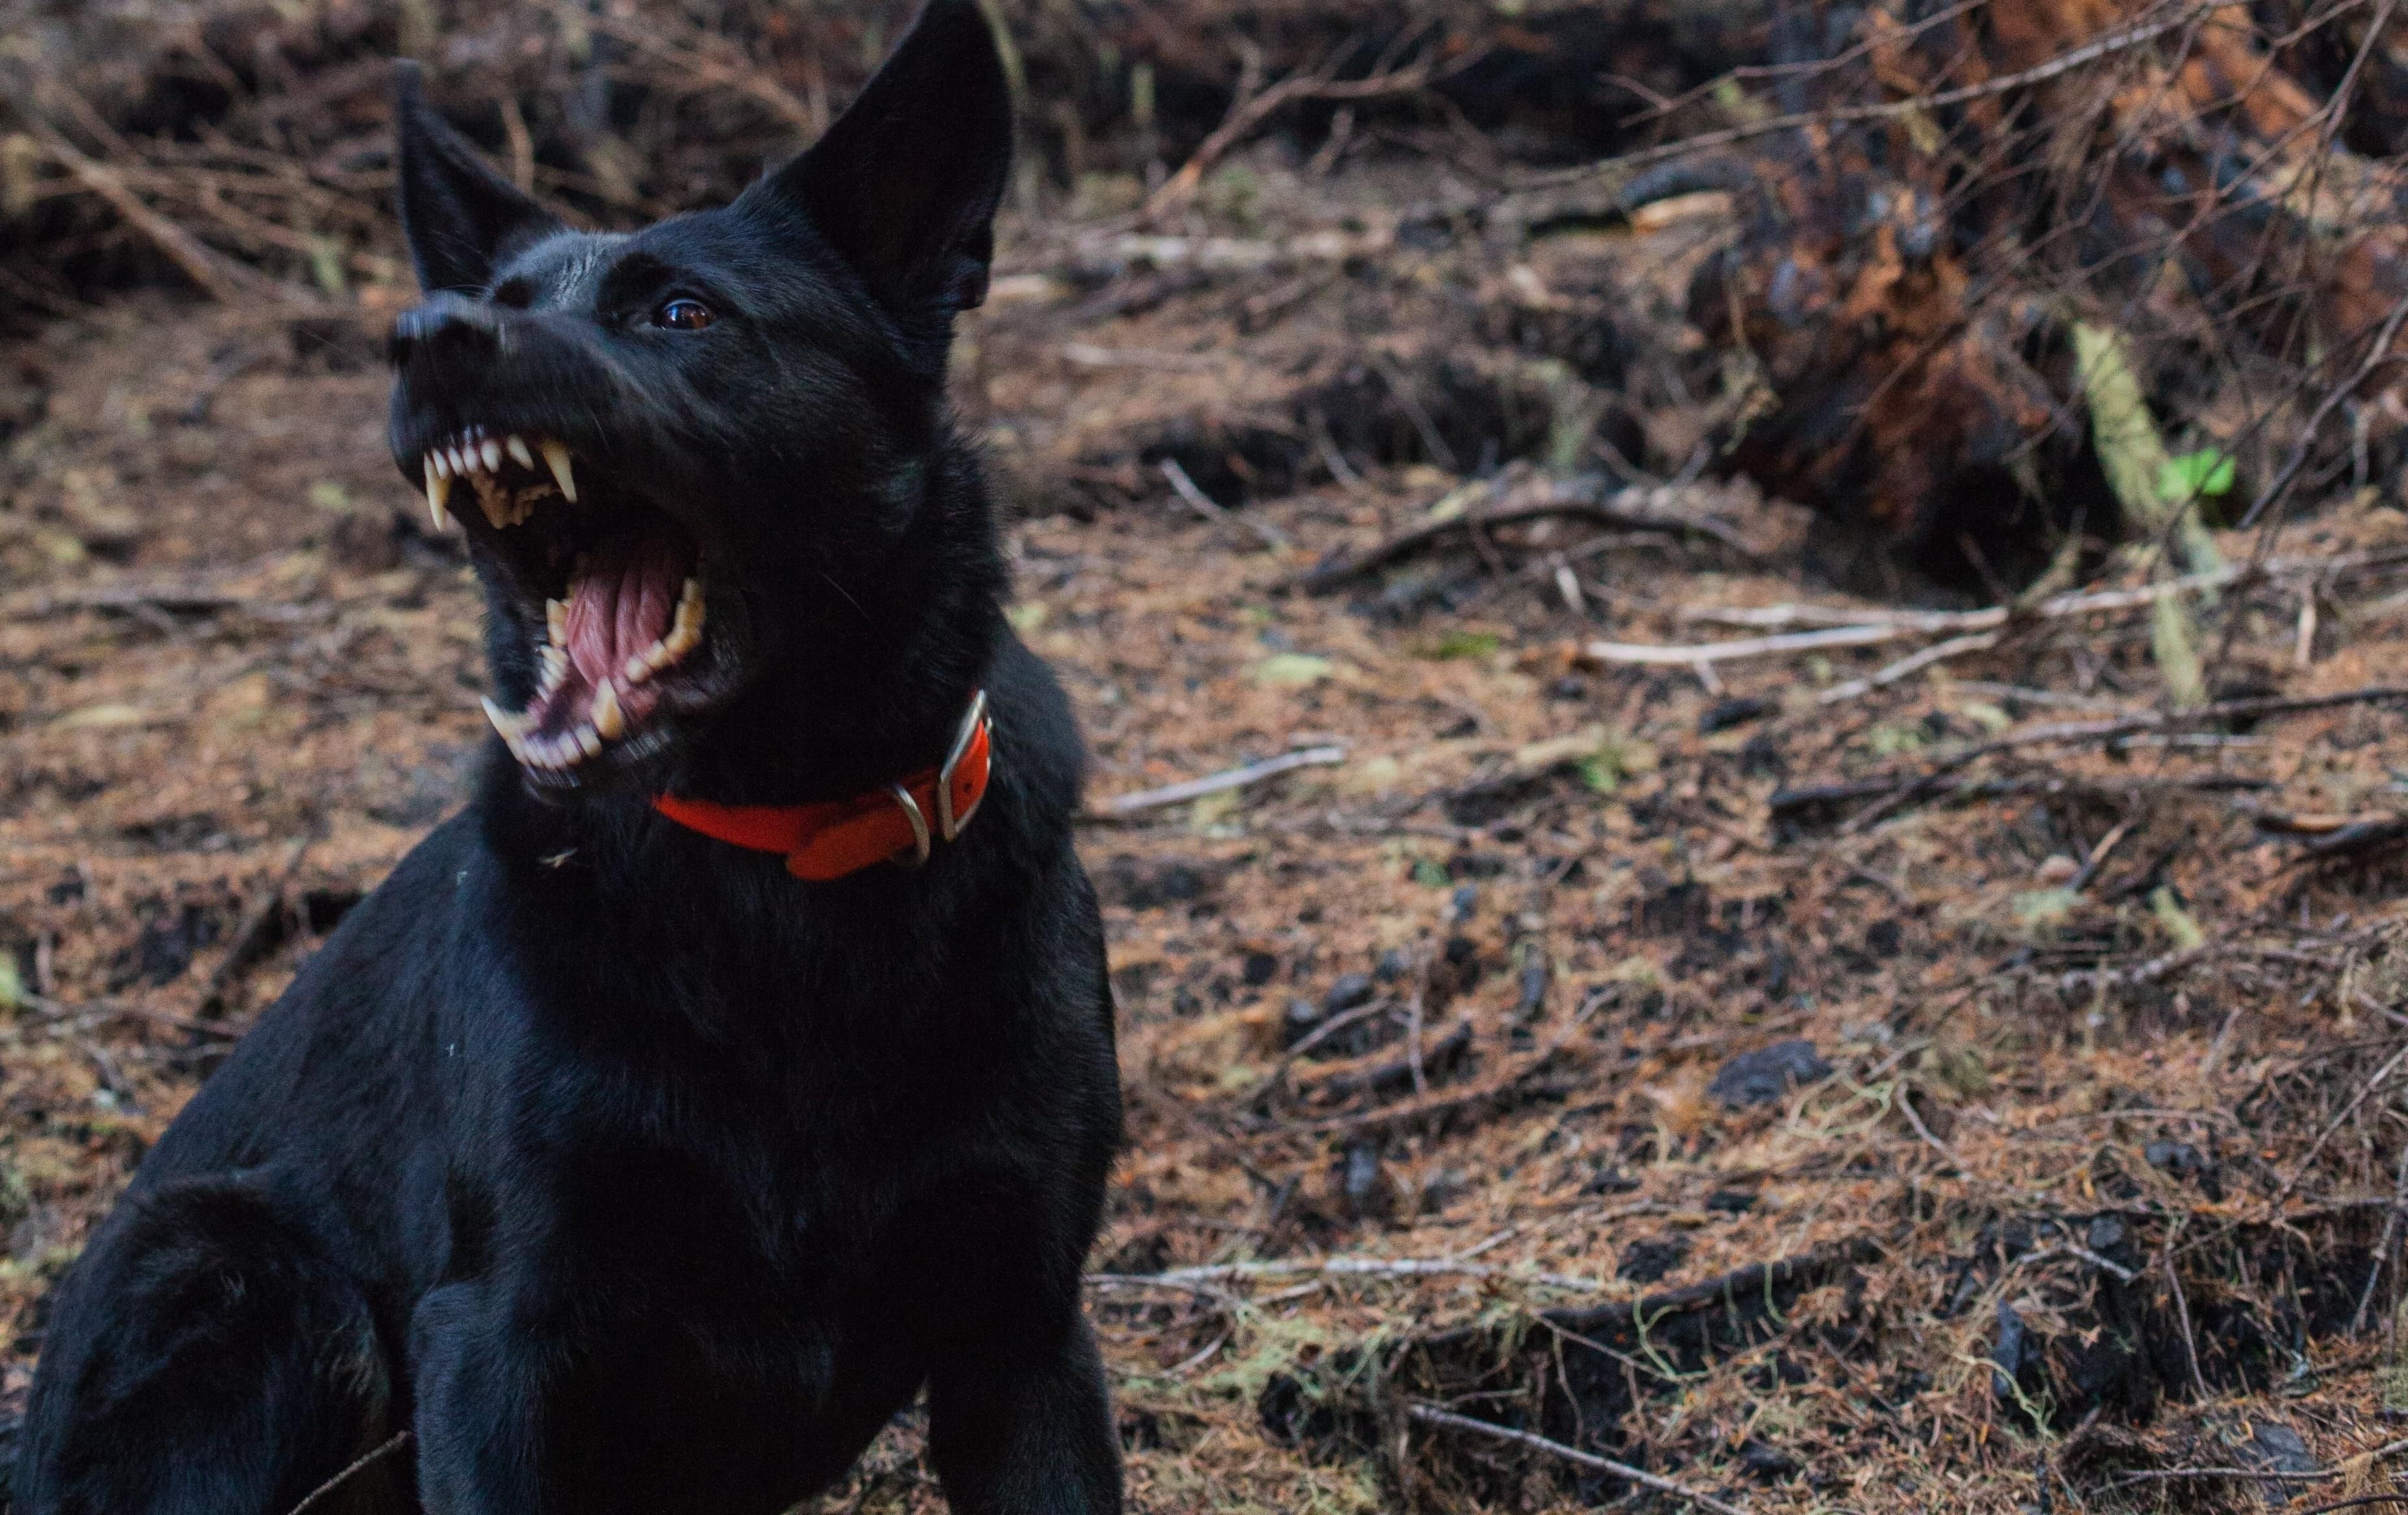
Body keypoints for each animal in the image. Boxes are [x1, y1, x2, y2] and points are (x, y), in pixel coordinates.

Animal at [14, 6, 1122, 1503]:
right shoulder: (499, 1333)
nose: (424, 337)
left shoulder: (1025, 1334)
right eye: (505, 294)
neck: (779, 858)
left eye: (681, 313)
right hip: (250, 1278)